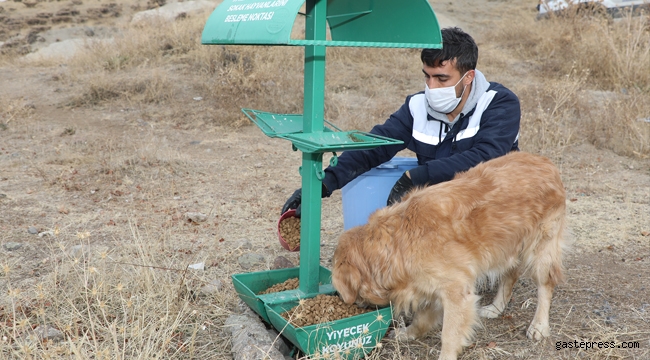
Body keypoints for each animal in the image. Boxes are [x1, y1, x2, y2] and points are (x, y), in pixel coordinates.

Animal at [332, 152, 564, 360]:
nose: (350, 305)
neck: (397, 241)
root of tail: (545, 161)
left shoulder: (456, 291)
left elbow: (449, 334)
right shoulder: (426, 285)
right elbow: (422, 317)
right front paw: (409, 333)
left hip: (541, 250)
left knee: (545, 286)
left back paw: (539, 325)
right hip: (505, 247)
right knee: (510, 274)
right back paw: (496, 308)